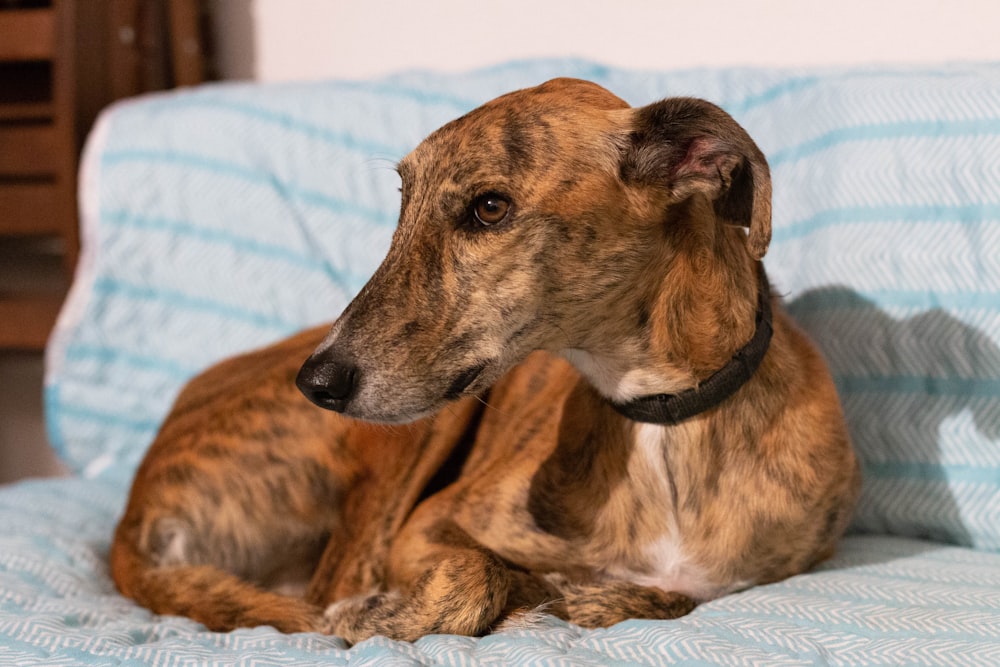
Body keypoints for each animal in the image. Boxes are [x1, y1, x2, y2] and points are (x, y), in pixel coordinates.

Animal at [111, 77, 860, 640]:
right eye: (404, 202)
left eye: (490, 208)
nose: (316, 382)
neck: (663, 419)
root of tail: (129, 514)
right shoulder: (427, 525)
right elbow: (480, 572)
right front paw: (398, 611)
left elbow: (664, 594)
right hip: (422, 429)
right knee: (334, 583)